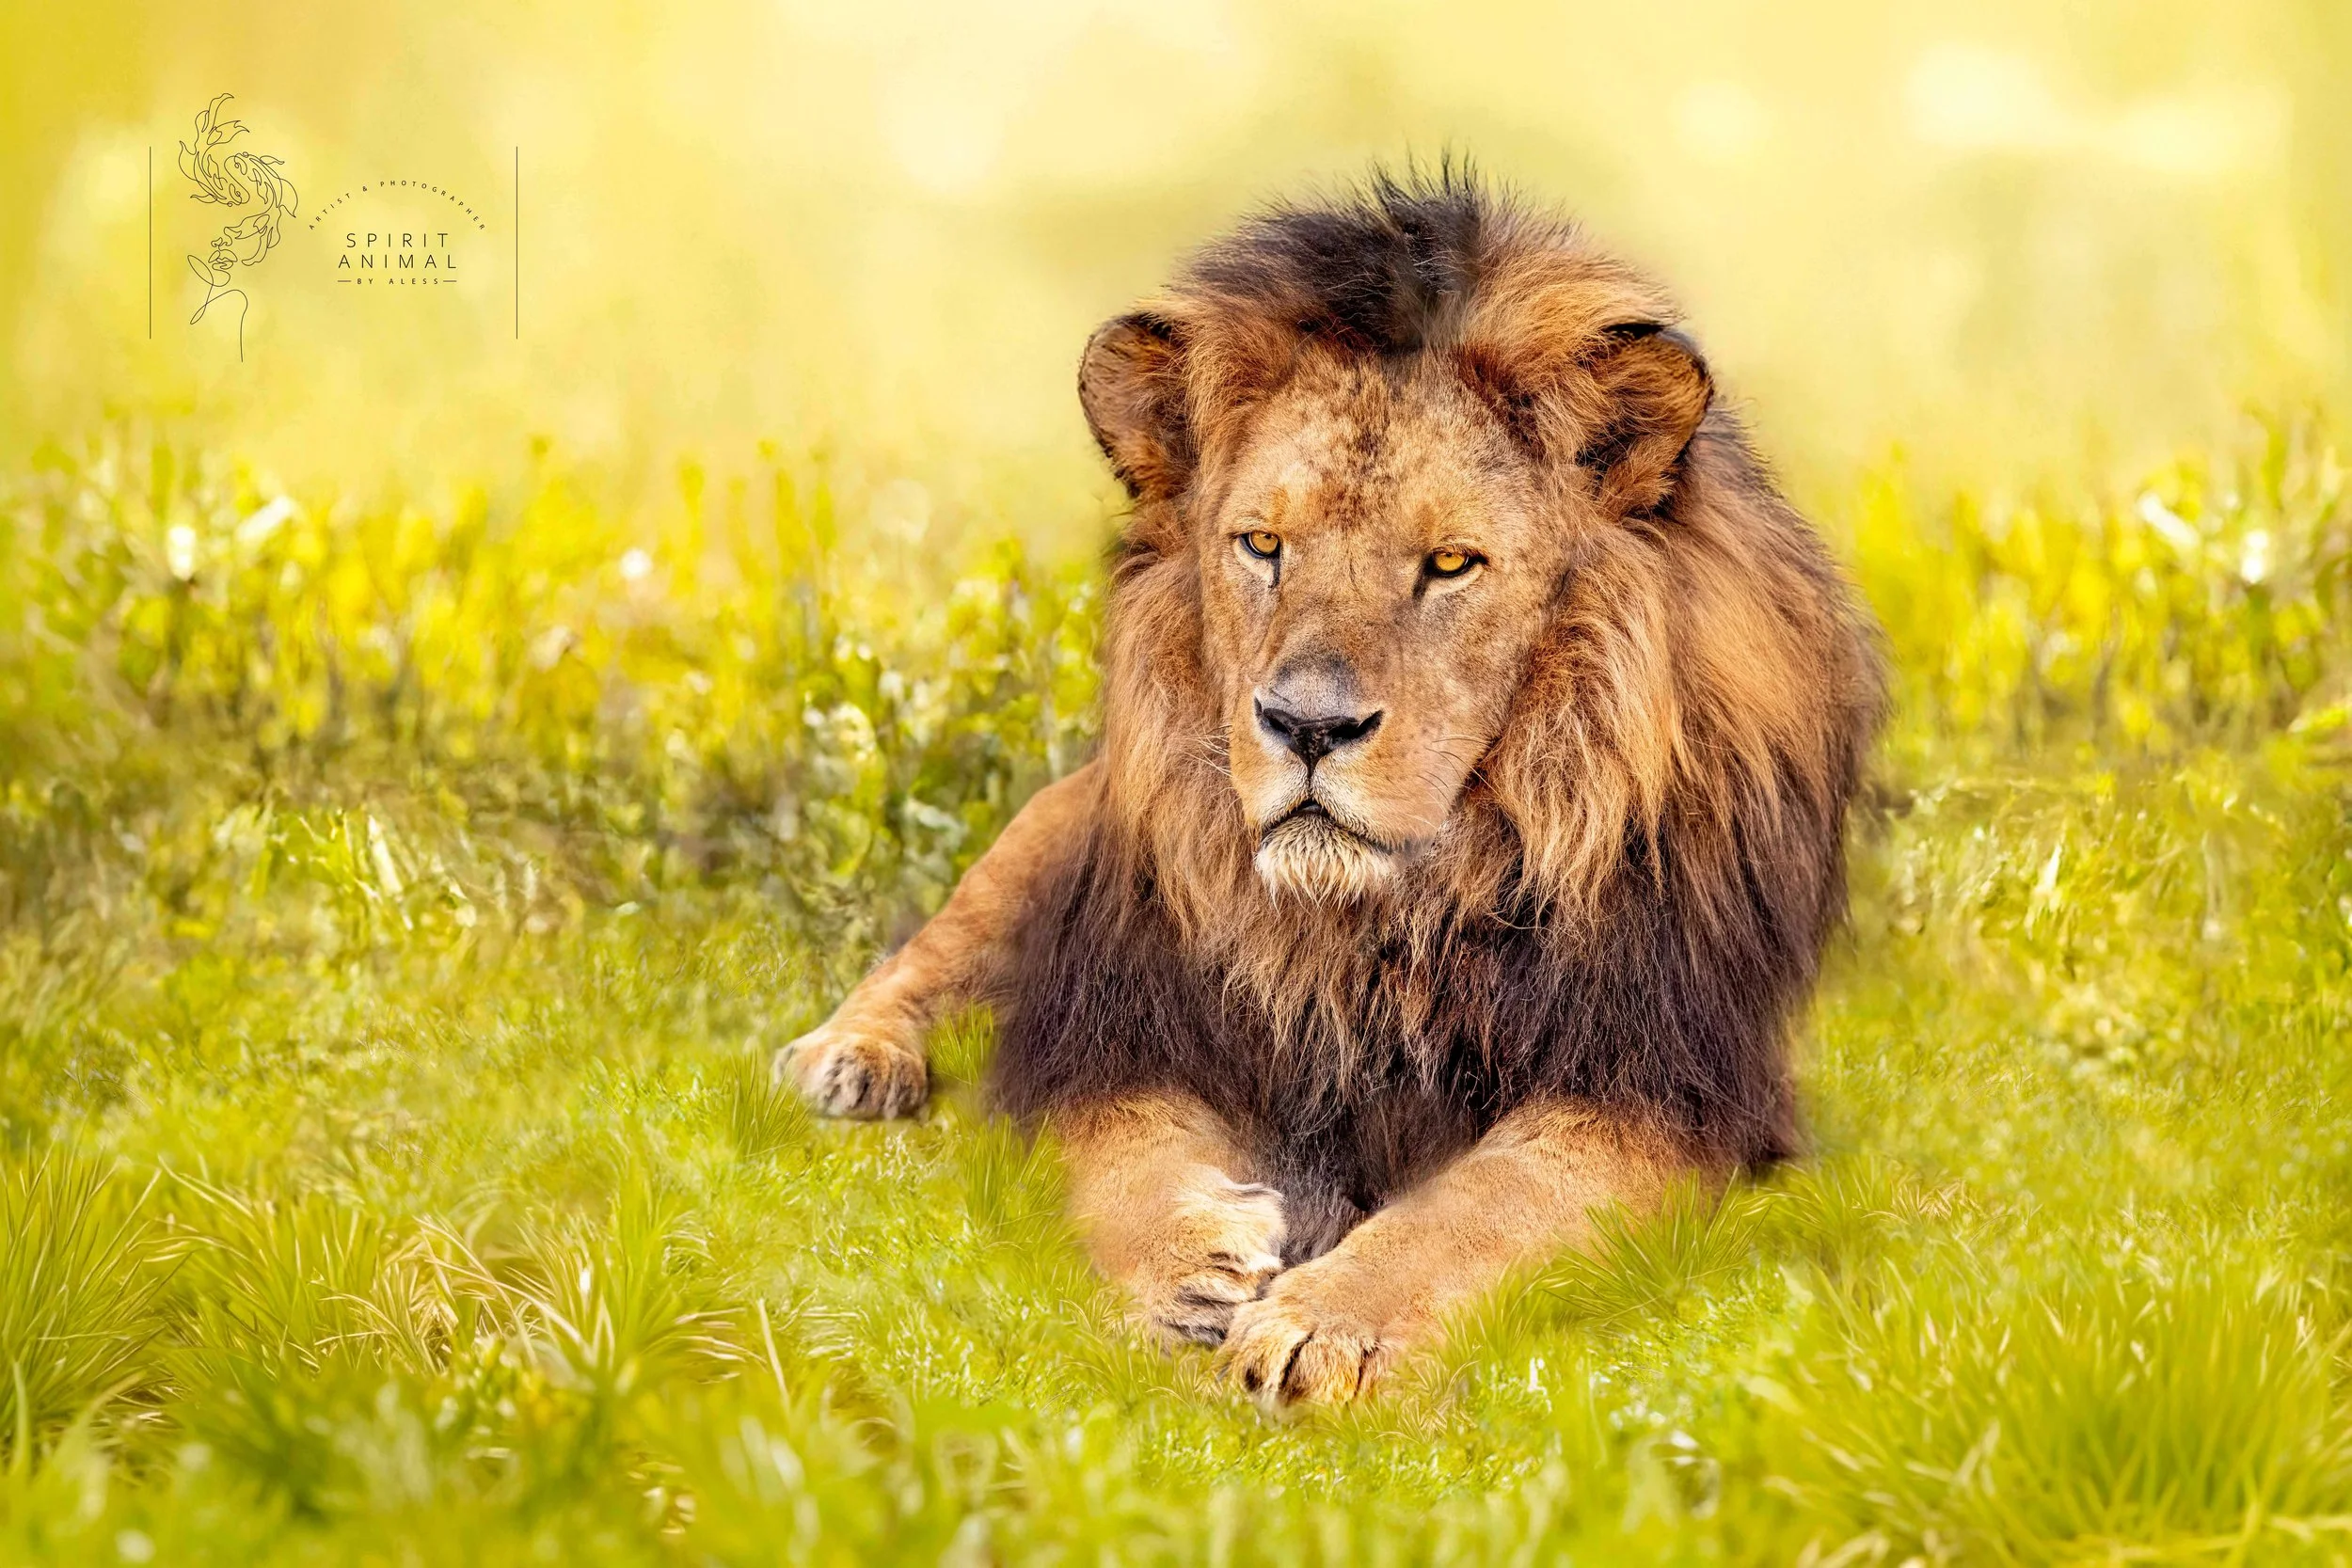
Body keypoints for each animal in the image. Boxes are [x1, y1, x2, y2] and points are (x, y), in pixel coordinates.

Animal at [778, 170, 1886, 1410]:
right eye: (1262, 544)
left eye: (1449, 564)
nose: (1307, 724)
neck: (1381, 921)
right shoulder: (1115, 1024)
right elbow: (1122, 1154)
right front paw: (1187, 1271)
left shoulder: (1662, 1082)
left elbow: (1489, 1202)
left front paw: (1326, 1325)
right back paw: (851, 1055)